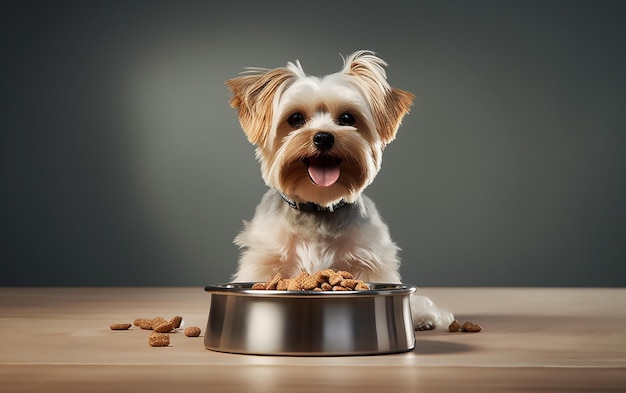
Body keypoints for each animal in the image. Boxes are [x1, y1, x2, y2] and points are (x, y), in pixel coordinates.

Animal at [227, 50, 450, 330]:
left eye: (347, 118)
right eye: (295, 118)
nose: (323, 137)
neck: (319, 208)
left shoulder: (368, 260)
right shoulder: (265, 260)